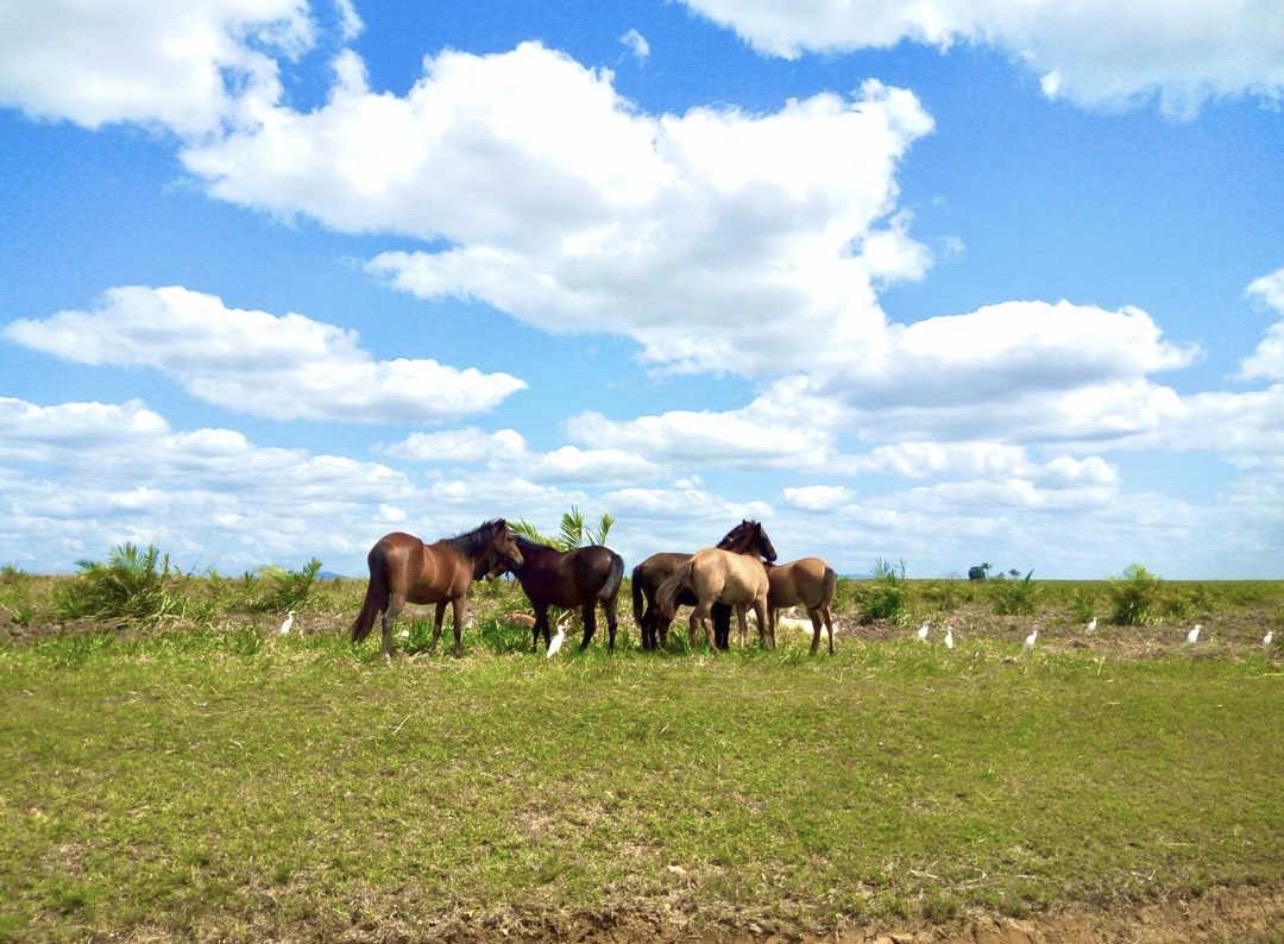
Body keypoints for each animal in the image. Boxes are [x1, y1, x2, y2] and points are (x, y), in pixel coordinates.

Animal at [349, 516, 523, 657]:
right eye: (509, 538)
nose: (520, 560)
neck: (464, 556)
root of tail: (382, 545)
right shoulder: (459, 598)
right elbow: (457, 627)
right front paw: (458, 653)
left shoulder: (442, 600)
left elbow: (437, 628)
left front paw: (432, 652)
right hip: (398, 597)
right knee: (387, 620)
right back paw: (386, 657)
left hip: (384, 595)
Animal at [629, 521, 770, 652]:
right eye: (765, 537)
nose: (773, 555)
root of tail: (641, 565)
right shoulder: (731, 605)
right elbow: (728, 625)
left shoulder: (727, 605)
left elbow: (729, 626)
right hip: (669, 604)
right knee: (657, 623)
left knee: (654, 623)